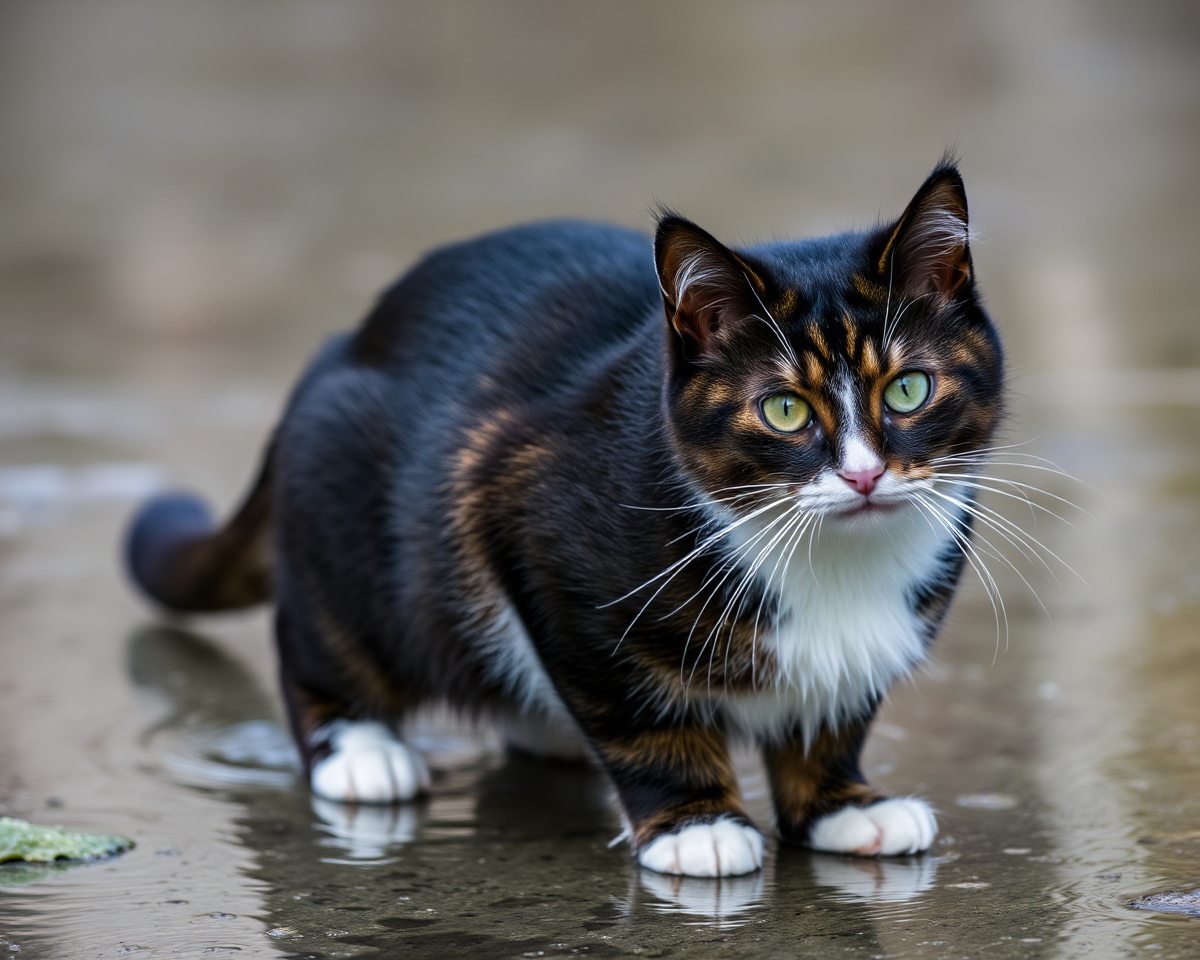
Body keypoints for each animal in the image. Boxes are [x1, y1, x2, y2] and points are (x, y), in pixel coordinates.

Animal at [124, 159, 1003, 878]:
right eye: (783, 409)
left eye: (908, 390)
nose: (863, 474)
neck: (835, 561)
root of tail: (339, 347)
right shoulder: (530, 519)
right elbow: (635, 709)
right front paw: (697, 824)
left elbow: (836, 713)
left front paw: (842, 807)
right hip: (343, 505)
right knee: (317, 636)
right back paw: (362, 750)